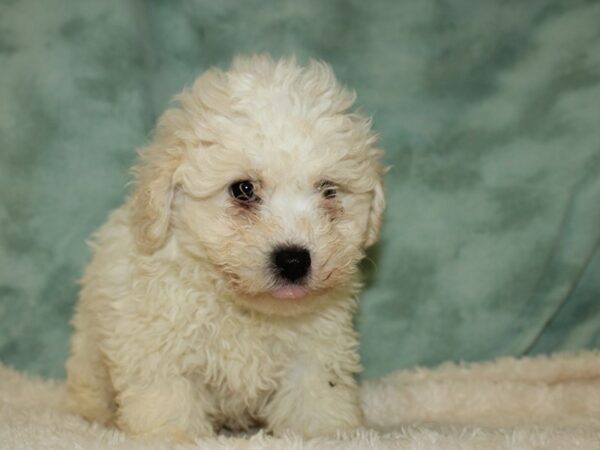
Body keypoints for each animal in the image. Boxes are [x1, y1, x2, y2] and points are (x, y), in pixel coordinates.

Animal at [64, 53, 384, 440]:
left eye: (328, 190)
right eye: (243, 189)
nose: (294, 260)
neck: (243, 308)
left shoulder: (315, 352)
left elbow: (316, 397)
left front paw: (326, 432)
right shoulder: (159, 347)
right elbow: (167, 401)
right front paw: (174, 436)